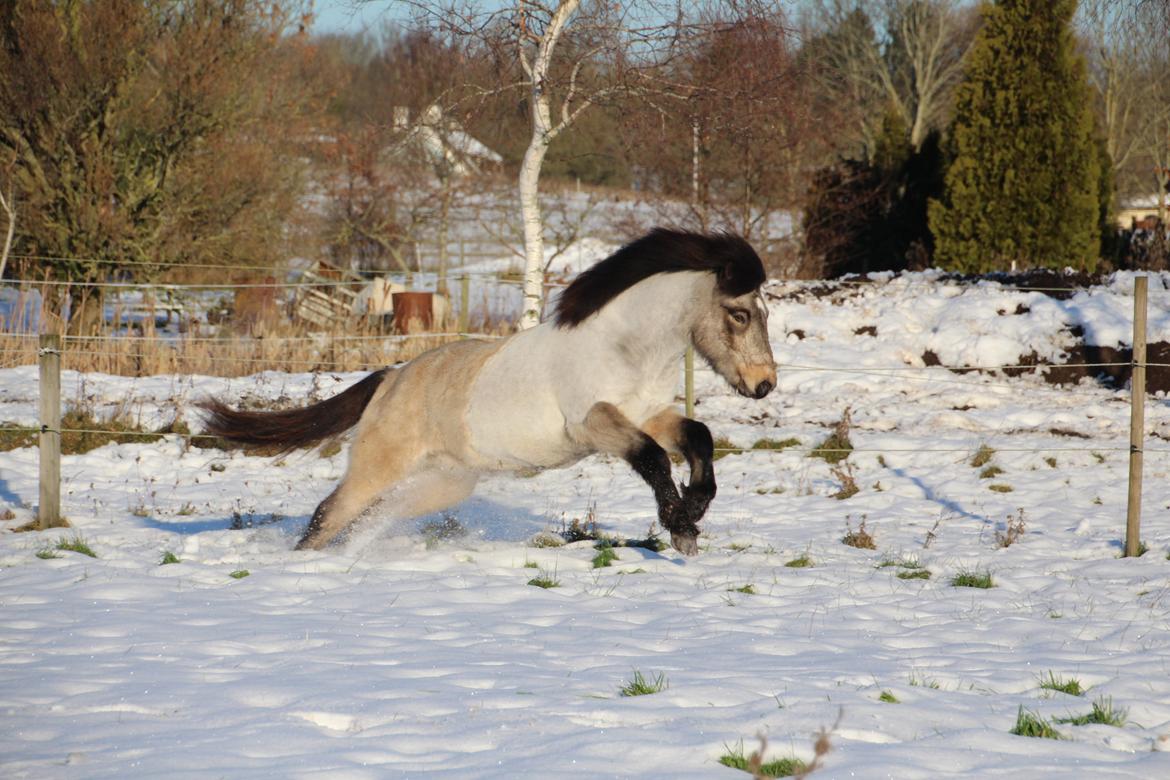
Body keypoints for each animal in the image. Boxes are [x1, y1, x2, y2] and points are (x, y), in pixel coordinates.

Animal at [200, 226, 776, 554]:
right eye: (740, 314)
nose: (763, 384)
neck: (623, 346)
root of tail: (391, 379)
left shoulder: (647, 412)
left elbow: (697, 436)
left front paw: (696, 509)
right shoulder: (595, 423)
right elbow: (654, 457)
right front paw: (680, 527)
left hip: (444, 483)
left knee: (365, 516)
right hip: (380, 466)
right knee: (328, 513)